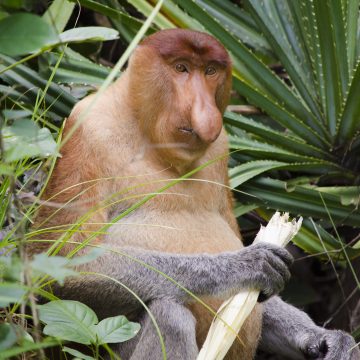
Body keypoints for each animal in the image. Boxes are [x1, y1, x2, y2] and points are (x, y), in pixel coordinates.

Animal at [29, 29, 358, 358]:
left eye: (210, 70)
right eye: (181, 68)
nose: (205, 113)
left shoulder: (221, 148)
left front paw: (330, 340)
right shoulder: (89, 130)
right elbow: (63, 261)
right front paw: (246, 266)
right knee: (169, 315)